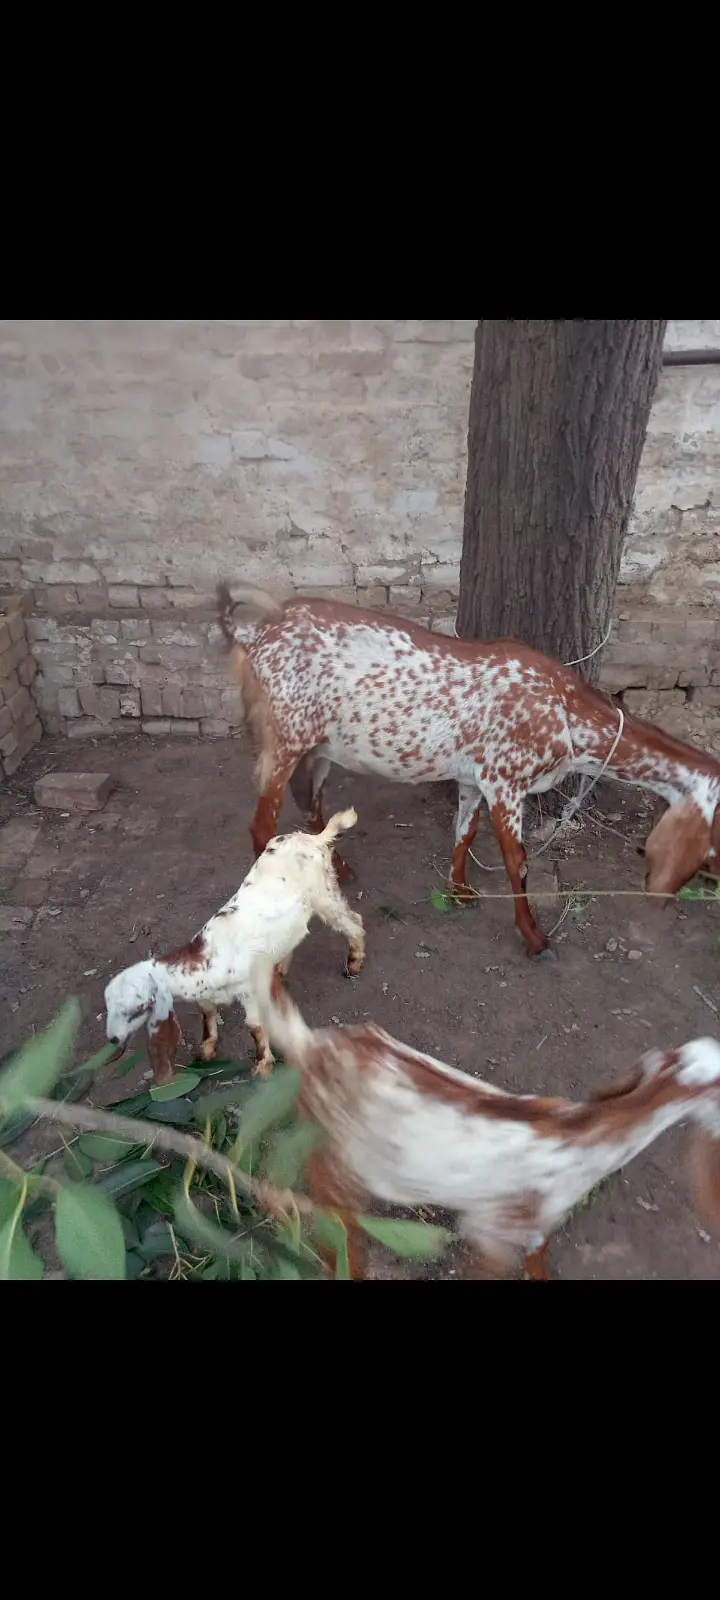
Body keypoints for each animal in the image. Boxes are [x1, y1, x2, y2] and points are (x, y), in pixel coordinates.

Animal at [103, 810, 365, 1083]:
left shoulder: (247, 990)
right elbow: (207, 1014)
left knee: (353, 921)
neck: (207, 954)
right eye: (109, 1005)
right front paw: (206, 1049)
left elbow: (254, 1026)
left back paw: (353, 964)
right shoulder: (207, 993)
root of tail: (313, 839)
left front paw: (263, 1066)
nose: (113, 1039)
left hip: (324, 893)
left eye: (135, 1009)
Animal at [218, 584, 720, 958]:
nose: (709, 879)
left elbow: (465, 831)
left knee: (312, 801)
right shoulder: (507, 781)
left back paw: (338, 867)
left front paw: (459, 892)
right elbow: (517, 861)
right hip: (285, 736)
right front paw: (534, 937)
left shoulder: (472, 777)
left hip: (321, 745)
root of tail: (252, 635)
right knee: (262, 824)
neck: (567, 714)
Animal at [256, 974, 720, 1279]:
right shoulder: (494, 1229)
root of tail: (309, 1046)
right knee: (334, 1234)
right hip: (333, 1161)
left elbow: (537, 1262)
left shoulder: (534, 1229)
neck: (581, 1138)